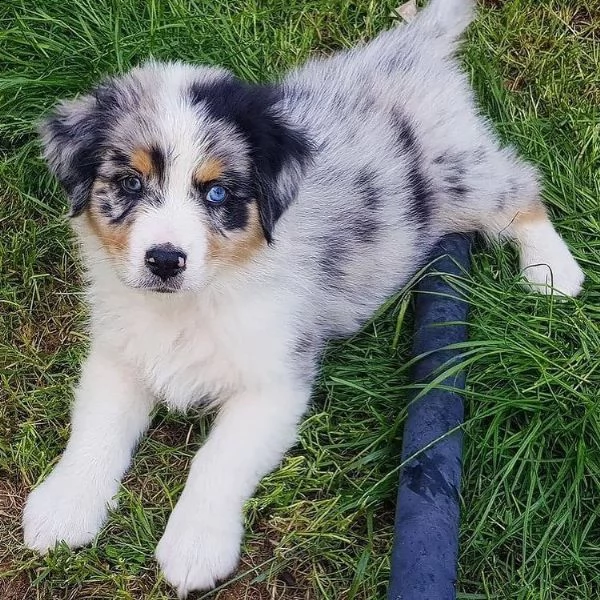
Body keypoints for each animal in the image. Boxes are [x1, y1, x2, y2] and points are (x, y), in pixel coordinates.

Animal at [21, 0, 584, 592]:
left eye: (216, 193)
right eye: (130, 183)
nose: (165, 260)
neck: (192, 302)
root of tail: (408, 47)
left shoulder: (276, 380)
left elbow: (218, 459)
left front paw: (195, 546)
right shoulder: (118, 354)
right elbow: (96, 429)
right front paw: (63, 509)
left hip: (458, 173)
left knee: (520, 186)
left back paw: (552, 270)